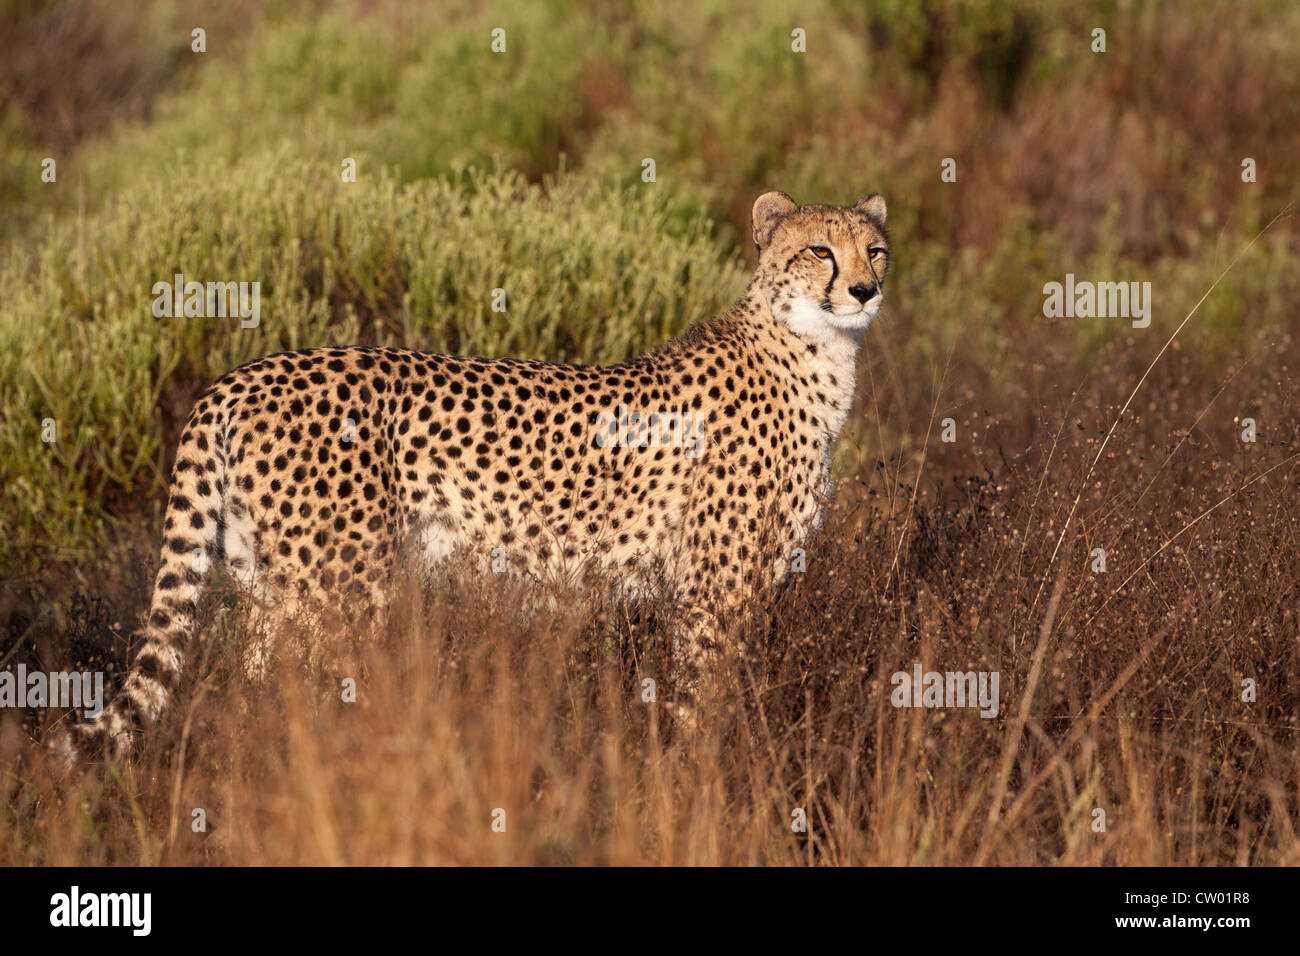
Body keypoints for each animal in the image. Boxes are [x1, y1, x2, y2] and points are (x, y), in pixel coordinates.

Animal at [61, 192, 894, 764]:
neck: (813, 356)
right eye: (820, 251)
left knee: (255, 699)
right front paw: (699, 787)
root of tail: (241, 376)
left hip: (275, 590)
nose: (865, 290)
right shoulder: (712, 591)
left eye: (876, 250)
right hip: (342, 596)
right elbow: (701, 703)